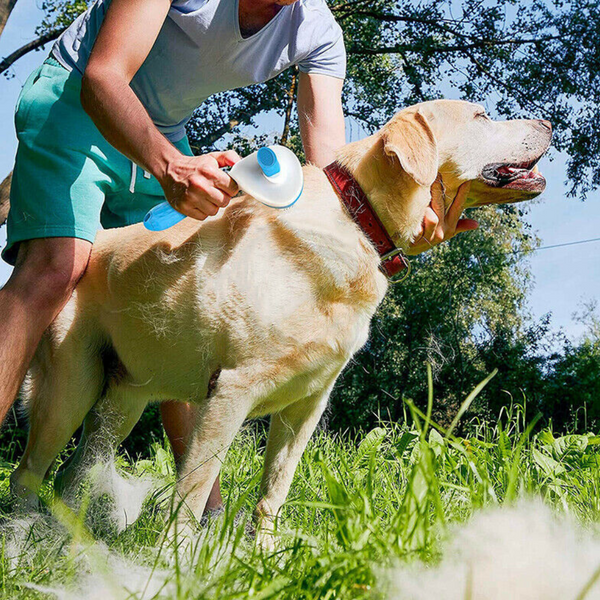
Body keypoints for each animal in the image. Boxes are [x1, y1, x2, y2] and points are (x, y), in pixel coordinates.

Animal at [10, 98, 552, 540]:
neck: (358, 219)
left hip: (121, 403)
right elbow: (192, 492)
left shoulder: (307, 404)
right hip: (69, 390)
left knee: (73, 477)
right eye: (481, 117)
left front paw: (264, 555)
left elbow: (273, 493)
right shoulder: (230, 391)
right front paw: (177, 563)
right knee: (28, 473)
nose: (548, 122)